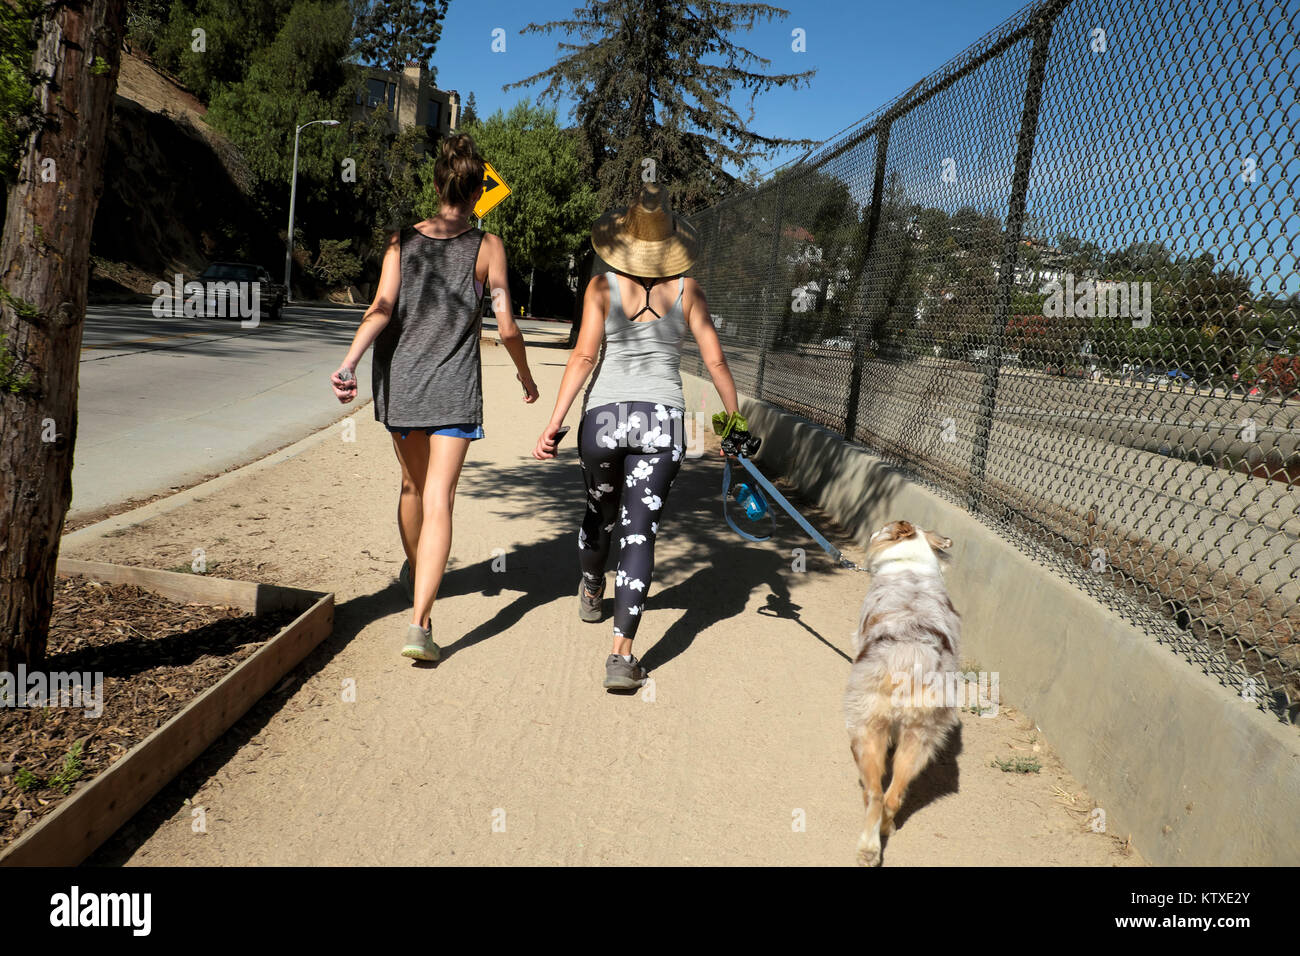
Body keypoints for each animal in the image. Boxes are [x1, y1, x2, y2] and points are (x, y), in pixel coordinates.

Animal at [847, 522, 961, 868]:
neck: (911, 566)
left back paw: (867, 849)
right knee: (893, 795)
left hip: (865, 726)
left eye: (879, 530)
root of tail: (910, 659)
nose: (871, 531)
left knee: (874, 793)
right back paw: (885, 830)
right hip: (922, 736)